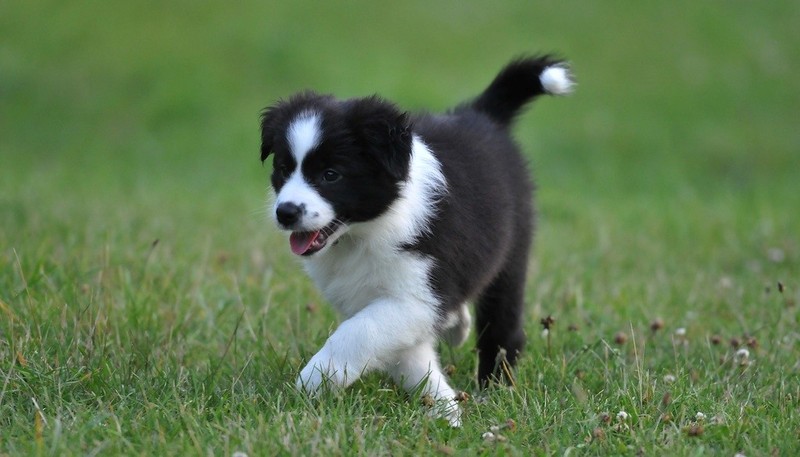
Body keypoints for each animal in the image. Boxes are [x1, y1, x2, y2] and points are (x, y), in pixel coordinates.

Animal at [259, 55, 573, 426]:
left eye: (331, 175)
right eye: (283, 169)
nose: (286, 212)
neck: (363, 233)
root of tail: (481, 115)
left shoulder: (417, 293)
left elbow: (359, 332)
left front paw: (314, 379)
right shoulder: (384, 300)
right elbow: (408, 356)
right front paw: (446, 410)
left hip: (510, 254)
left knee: (502, 326)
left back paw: (494, 386)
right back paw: (458, 330)